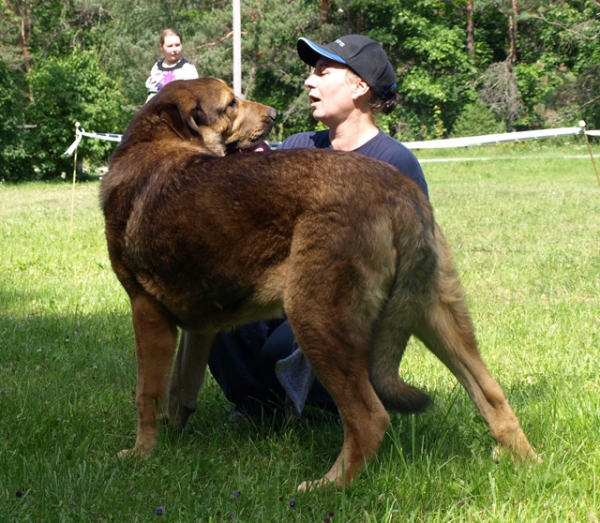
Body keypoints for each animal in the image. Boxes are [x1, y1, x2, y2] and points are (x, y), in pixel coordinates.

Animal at [101, 78, 536, 492]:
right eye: (230, 104)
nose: (274, 114)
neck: (158, 143)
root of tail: (397, 191)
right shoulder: (200, 328)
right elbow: (180, 388)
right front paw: (172, 441)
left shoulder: (147, 312)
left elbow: (146, 394)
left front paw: (141, 454)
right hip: (437, 316)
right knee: (491, 394)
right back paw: (526, 463)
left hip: (316, 318)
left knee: (370, 417)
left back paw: (326, 487)